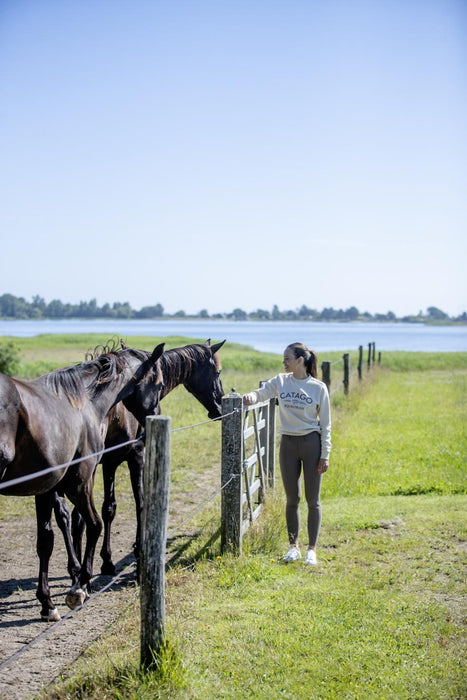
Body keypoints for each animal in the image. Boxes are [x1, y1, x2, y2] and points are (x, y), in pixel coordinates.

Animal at [0, 342, 165, 620]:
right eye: (160, 383)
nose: (153, 417)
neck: (84, 404)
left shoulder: (45, 489)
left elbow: (46, 541)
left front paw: (47, 603)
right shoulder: (80, 483)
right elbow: (94, 523)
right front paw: (80, 586)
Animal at [72, 338, 226, 576]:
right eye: (217, 372)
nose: (219, 406)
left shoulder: (109, 463)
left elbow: (109, 508)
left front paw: (107, 560)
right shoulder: (136, 457)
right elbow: (140, 503)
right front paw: (137, 553)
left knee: (76, 517)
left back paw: (76, 568)